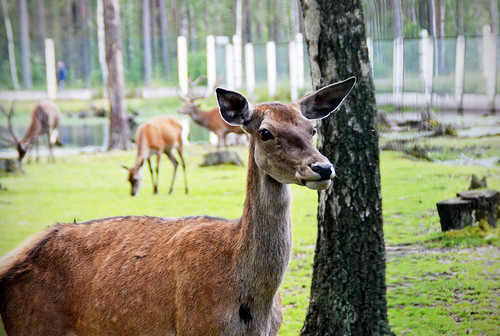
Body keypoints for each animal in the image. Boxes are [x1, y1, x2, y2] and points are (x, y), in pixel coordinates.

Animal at [0, 77, 356, 336]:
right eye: (266, 132)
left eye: (312, 129)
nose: (323, 168)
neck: (252, 309)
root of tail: (10, 263)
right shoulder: (197, 326)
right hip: (33, 324)